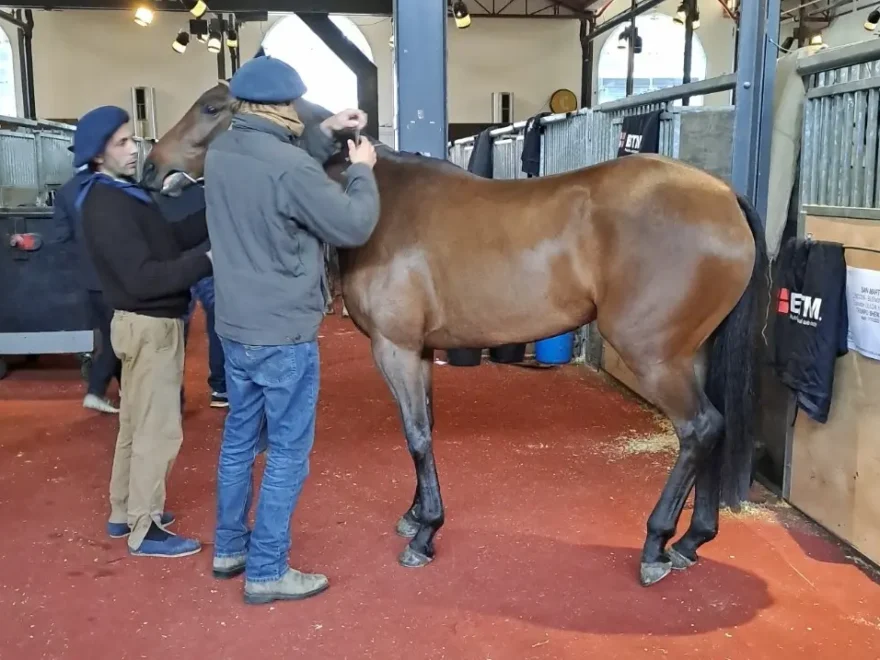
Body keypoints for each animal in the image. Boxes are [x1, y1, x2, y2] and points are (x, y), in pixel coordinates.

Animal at [141, 82, 768, 588]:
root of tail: (721, 196)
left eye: (213, 107)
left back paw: (656, 544)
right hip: (692, 353)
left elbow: (417, 435)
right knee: (715, 430)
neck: (380, 204)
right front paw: (416, 515)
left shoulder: (394, 348)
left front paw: (425, 535)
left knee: (699, 428)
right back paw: (691, 540)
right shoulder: (417, 351)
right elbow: (424, 428)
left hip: (655, 356)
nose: (150, 169)